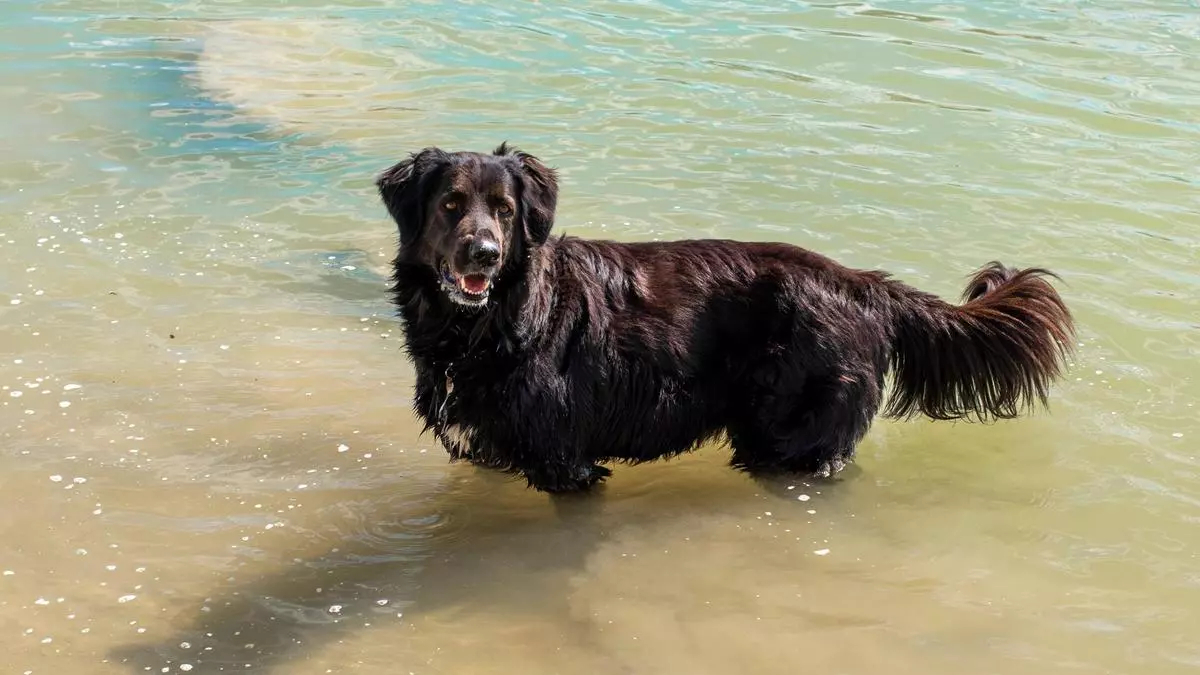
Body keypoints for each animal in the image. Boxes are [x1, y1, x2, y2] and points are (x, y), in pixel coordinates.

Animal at [376, 142, 1080, 487]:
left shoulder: (566, 460)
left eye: (504, 209)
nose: (486, 254)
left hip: (789, 436)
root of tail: (864, 285)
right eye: (450, 204)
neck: (489, 323)